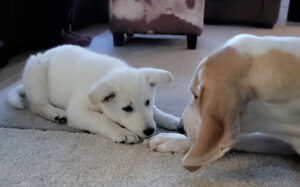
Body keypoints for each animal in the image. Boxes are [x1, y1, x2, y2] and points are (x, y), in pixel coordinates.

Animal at [7, 45, 178, 143]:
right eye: (127, 109)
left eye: (147, 102)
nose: (150, 131)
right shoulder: (77, 111)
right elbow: (102, 119)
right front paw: (122, 132)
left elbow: (155, 111)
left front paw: (169, 119)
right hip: (37, 68)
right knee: (36, 105)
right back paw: (55, 113)